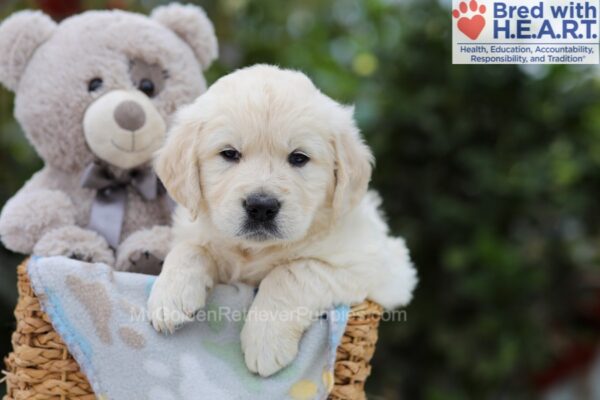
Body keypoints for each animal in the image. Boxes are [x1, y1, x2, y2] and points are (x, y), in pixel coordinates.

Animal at [148, 64, 418, 376]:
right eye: (229, 153)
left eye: (299, 158)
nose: (261, 207)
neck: (255, 251)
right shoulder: (197, 232)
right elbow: (190, 249)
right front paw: (169, 298)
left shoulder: (374, 265)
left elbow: (291, 272)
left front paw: (265, 342)